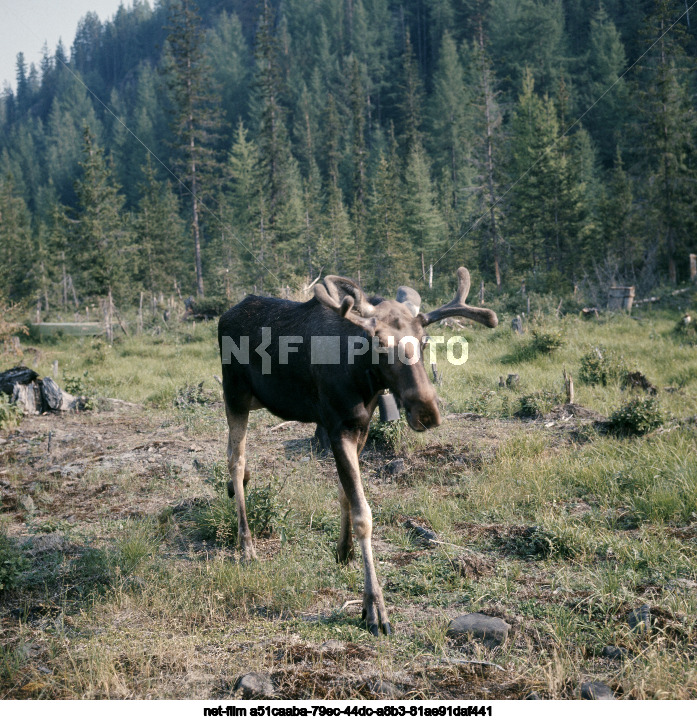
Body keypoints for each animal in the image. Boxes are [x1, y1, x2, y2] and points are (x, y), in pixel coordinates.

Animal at [218, 268, 494, 632]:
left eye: (424, 340)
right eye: (380, 343)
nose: (427, 411)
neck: (363, 379)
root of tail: (225, 315)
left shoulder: (360, 427)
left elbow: (345, 493)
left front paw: (344, 550)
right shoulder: (337, 428)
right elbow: (364, 514)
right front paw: (374, 606)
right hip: (234, 394)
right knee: (235, 461)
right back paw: (246, 545)